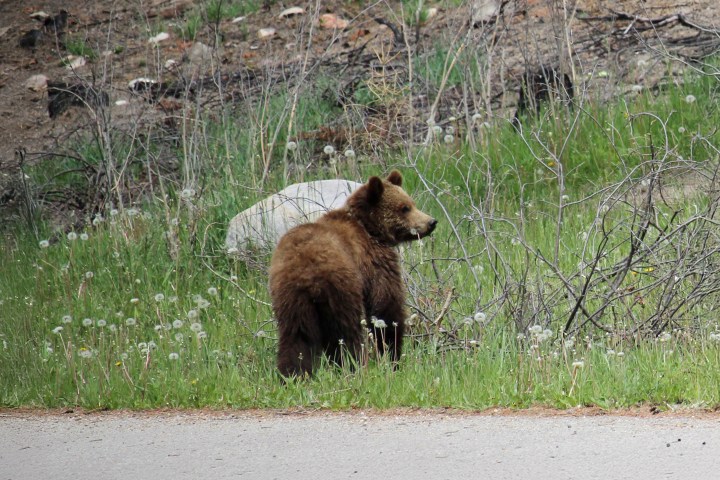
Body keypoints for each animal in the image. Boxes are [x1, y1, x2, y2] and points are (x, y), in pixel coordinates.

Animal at [269, 170, 437, 377]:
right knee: (346, 333)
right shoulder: (375, 262)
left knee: (297, 337)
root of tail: (306, 271)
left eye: (411, 203)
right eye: (404, 208)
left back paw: (293, 374)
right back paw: (354, 367)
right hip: (340, 289)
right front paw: (392, 354)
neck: (370, 229)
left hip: (290, 299)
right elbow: (386, 307)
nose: (431, 222)